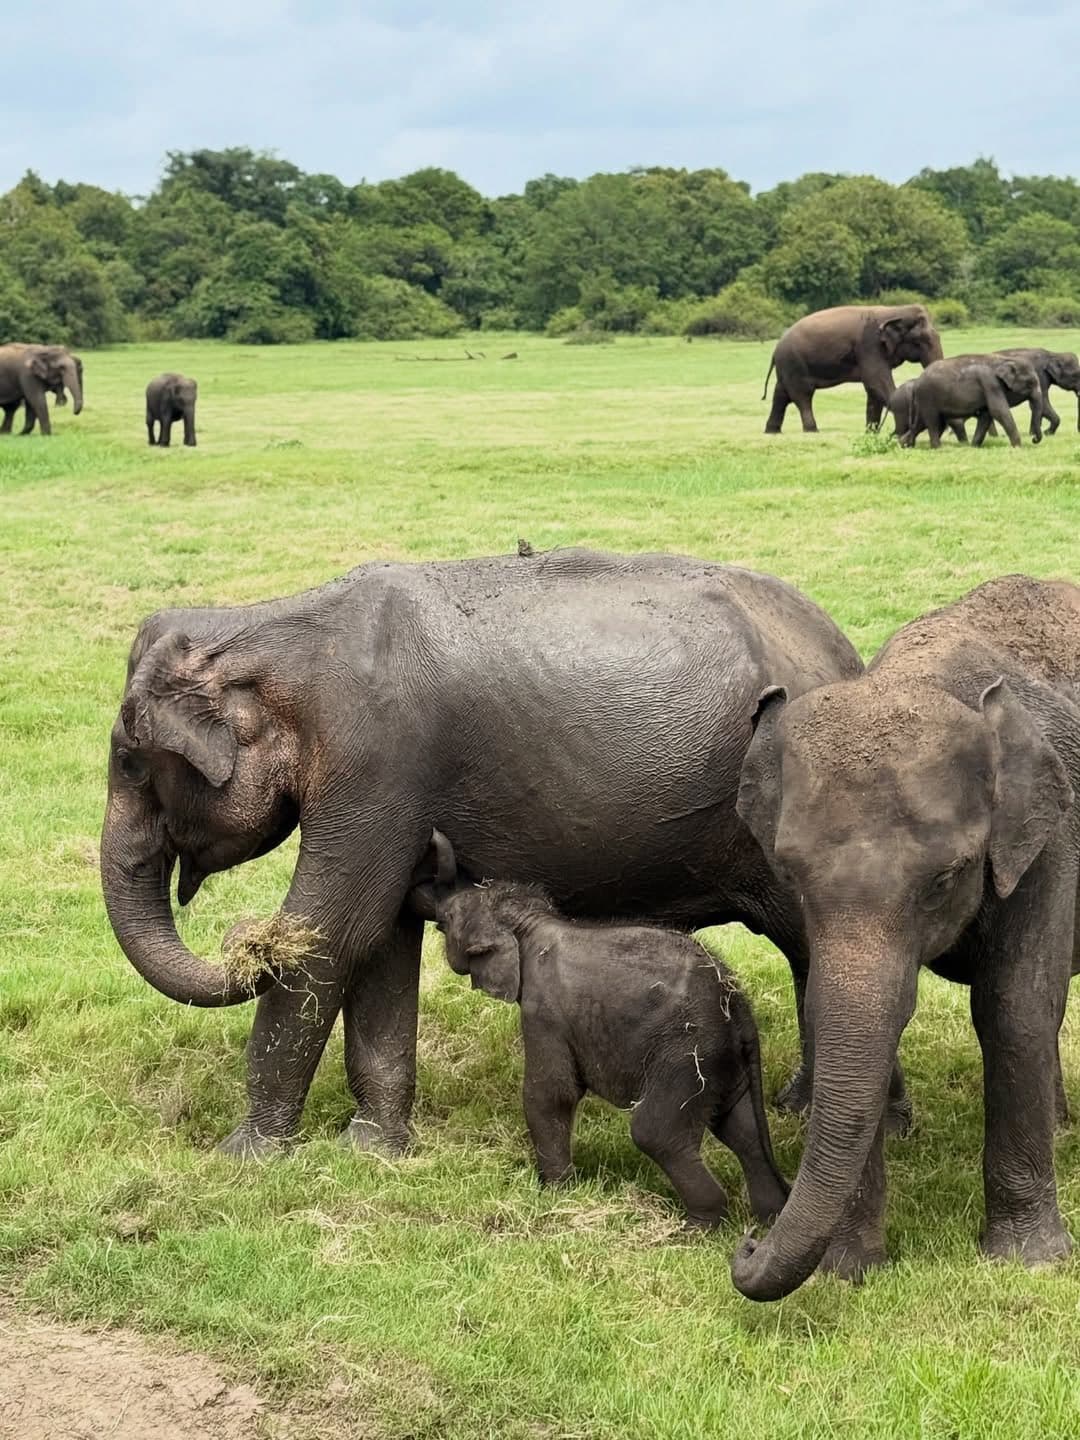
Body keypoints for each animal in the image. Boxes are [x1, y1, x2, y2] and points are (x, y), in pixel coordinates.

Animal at [100, 545, 865, 1160]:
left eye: (130, 764)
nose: (244, 940)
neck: (267, 627)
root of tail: (846, 651)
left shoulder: (376, 763)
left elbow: (334, 932)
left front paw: (243, 1160)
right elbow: (383, 939)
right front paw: (372, 1150)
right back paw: (798, 1106)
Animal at [431, 861, 790, 1228]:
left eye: (453, 916)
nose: (438, 913)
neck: (532, 924)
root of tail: (738, 1005)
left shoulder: (544, 1011)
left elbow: (552, 1093)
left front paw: (555, 1193)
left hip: (688, 1054)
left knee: (655, 1132)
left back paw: (697, 1227)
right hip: (725, 1059)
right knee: (743, 1131)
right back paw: (770, 1217)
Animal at [731, 574, 1080, 1302]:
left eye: (946, 877)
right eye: (789, 874)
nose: (747, 1241)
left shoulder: (1051, 839)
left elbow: (1016, 1009)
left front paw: (1029, 1263)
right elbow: (832, 1009)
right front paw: (844, 1271)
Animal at [762, 304, 944, 434]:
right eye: (920, 341)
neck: (895, 310)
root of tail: (775, 349)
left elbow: (873, 390)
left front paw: (870, 432)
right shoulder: (869, 346)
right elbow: (875, 381)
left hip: (787, 367)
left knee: (781, 395)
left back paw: (772, 431)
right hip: (795, 365)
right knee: (802, 396)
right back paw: (812, 430)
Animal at [897, 354, 1043, 448]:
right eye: (1031, 383)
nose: (1034, 439)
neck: (1004, 359)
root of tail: (916, 383)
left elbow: (986, 416)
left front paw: (974, 446)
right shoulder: (990, 383)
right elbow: (998, 411)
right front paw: (1018, 447)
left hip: (924, 400)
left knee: (921, 423)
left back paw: (903, 445)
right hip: (927, 397)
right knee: (932, 421)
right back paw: (937, 448)